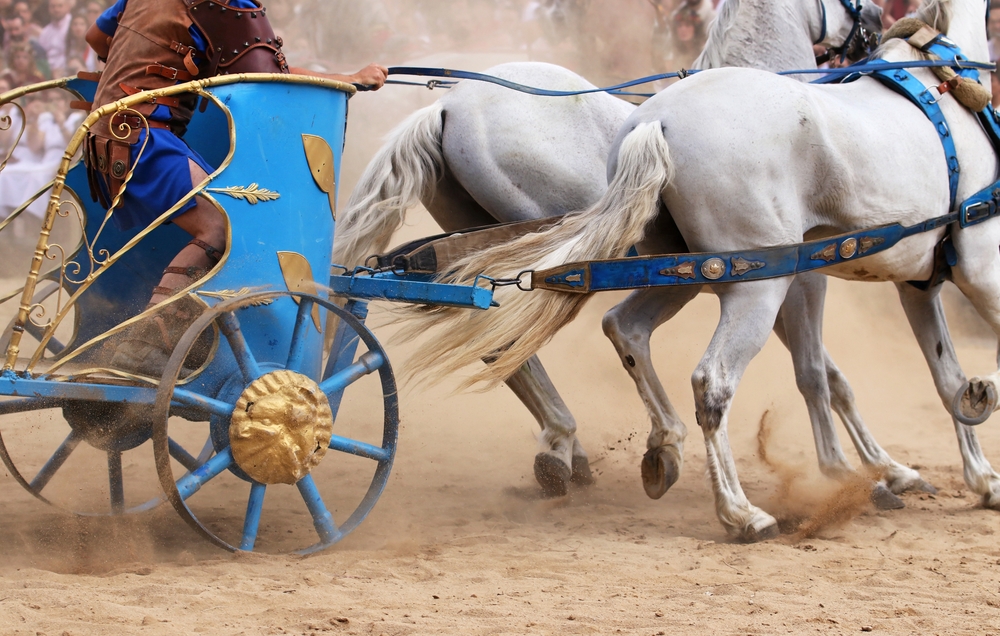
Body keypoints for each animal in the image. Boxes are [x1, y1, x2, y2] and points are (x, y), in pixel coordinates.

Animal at [396, 0, 1000, 540]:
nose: (875, 19)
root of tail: (447, 108)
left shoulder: (889, 280)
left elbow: (885, 376)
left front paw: (903, 472)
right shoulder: (813, 277)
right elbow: (820, 375)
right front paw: (863, 475)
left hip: (664, 275)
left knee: (546, 340)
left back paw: (599, 452)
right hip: (740, 283)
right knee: (696, 376)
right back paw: (726, 506)